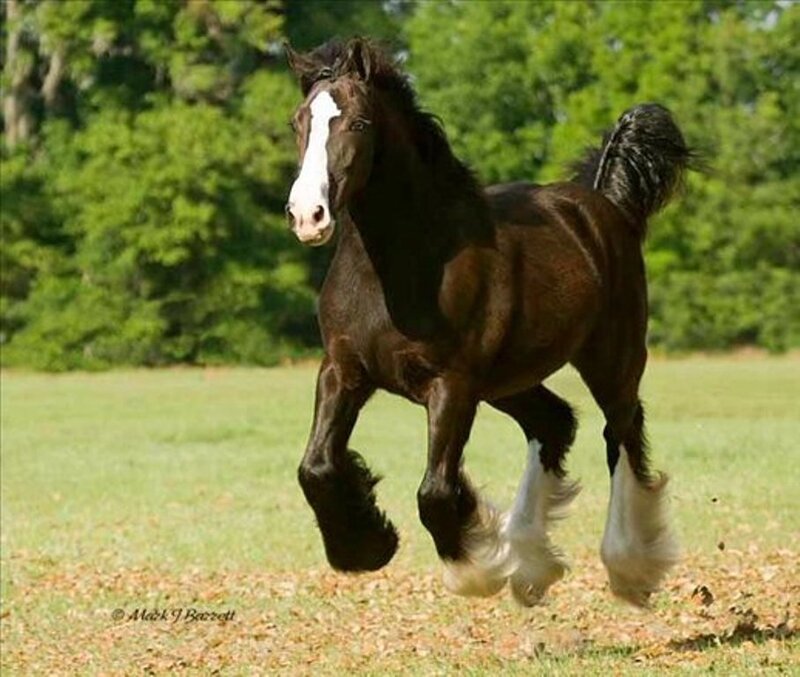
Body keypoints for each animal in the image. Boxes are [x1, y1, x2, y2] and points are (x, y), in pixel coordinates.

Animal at [283, 37, 692, 607]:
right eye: (299, 121)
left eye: (359, 122)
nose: (308, 215)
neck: (404, 264)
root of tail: (604, 205)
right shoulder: (344, 370)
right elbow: (316, 468)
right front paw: (366, 547)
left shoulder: (451, 383)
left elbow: (435, 491)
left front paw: (476, 568)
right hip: (509, 381)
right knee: (555, 421)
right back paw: (532, 564)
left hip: (612, 358)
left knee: (623, 432)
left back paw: (627, 566)